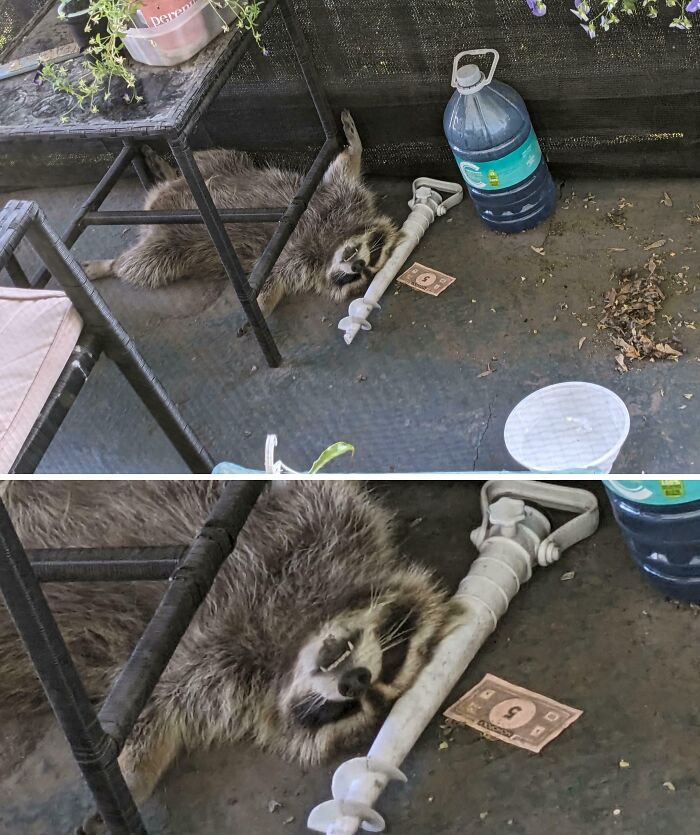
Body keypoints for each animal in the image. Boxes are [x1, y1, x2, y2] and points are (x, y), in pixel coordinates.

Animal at [0, 481, 462, 835]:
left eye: (343, 711)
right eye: (393, 649)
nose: (356, 680)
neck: (291, 633)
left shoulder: (215, 669)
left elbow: (159, 706)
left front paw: (133, 775)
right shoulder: (332, 525)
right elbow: (308, 499)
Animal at [82, 111, 401, 324]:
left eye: (363, 273)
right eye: (367, 252)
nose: (356, 265)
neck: (330, 245)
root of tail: (153, 204)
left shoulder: (295, 266)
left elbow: (272, 282)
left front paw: (260, 305)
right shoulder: (341, 199)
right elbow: (343, 169)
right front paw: (355, 142)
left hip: (169, 248)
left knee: (144, 265)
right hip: (221, 166)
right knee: (217, 158)